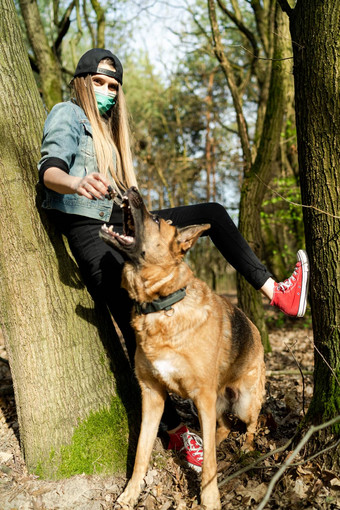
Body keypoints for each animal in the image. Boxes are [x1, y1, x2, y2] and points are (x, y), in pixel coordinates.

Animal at [100, 187, 266, 510]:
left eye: (155, 219)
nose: (132, 190)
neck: (162, 305)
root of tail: (256, 331)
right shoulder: (152, 396)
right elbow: (140, 452)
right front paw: (131, 492)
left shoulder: (203, 396)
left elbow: (211, 463)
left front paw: (210, 498)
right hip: (216, 403)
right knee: (222, 428)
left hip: (244, 401)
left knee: (249, 426)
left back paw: (247, 449)